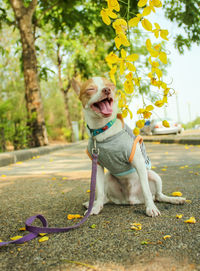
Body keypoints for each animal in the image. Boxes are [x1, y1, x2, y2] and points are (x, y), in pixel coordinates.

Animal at [72, 77, 186, 219]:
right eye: (90, 89)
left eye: (110, 86)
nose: (107, 90)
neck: (103, 130)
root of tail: (130, 200)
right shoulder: (97, 166)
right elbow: (99, 190)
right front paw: (96, 207)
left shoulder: (138, 161)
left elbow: (146, 189)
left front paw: (151, 208)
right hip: (108, 178)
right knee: (105, 196)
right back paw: (93, 203)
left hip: (153, 176)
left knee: (158, 195)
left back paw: (174, 199)